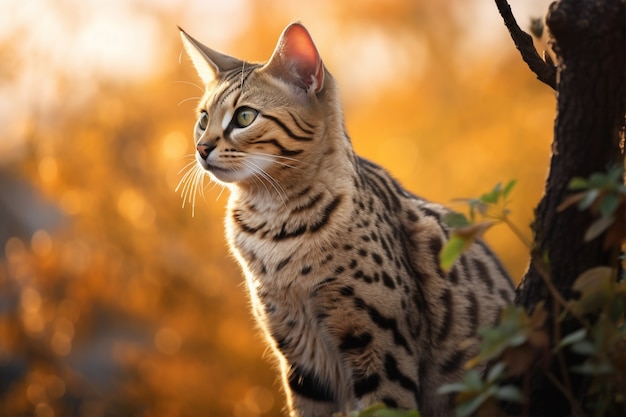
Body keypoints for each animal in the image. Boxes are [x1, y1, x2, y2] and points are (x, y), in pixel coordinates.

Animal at [177, 22, 512, 416]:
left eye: (245, 116)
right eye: (203, 119)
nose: (201, 149)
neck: (273, 224)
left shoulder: (383, 350)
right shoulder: (300, 359)